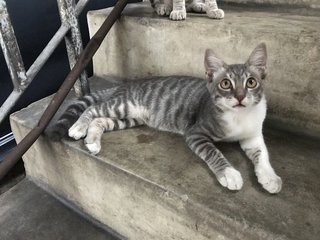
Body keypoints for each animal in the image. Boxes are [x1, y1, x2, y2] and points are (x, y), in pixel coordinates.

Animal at [47, 42, 282, 193]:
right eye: (226, 84)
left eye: (251, 82)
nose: (240, 97)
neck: (239, 117)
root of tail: (125, 86)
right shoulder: (195, 133)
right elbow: (213, 152)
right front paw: (229, 173)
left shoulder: (253, 135)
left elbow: (263, 154)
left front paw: (269, 177)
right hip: (123, 105)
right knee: (93, 109)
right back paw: (78, 128)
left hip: (130, 117)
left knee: (100, 120)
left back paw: (93, 140)